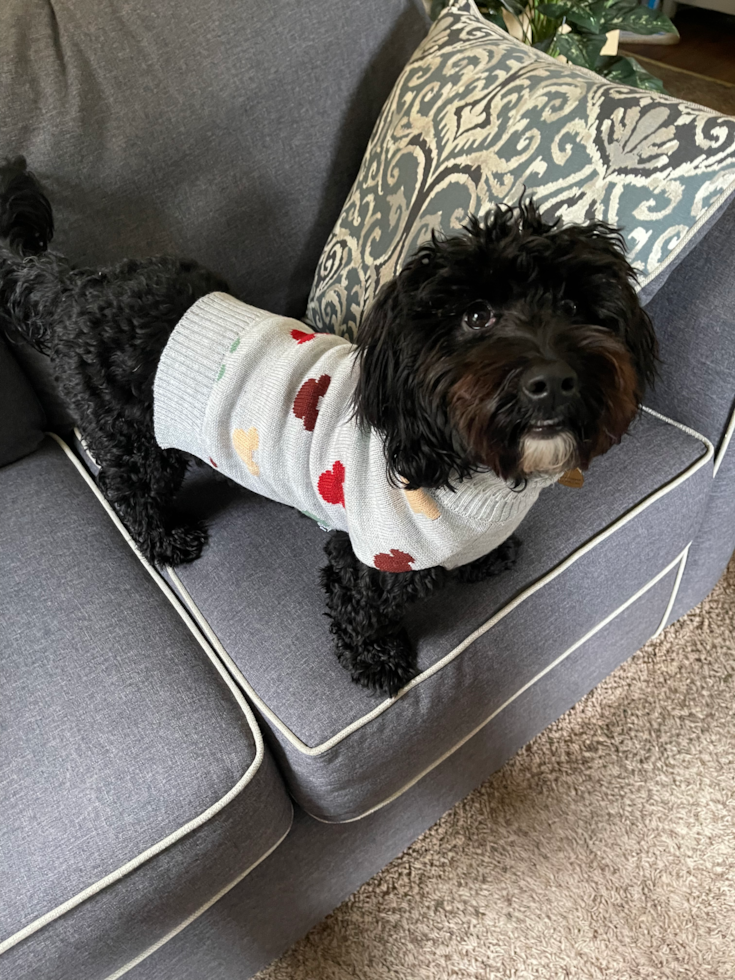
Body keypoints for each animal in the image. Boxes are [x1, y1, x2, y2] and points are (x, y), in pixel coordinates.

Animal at [0, 157, 656, 696]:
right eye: (475, 316)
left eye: (575, 306)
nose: (554, 380)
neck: (465, 468)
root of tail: (77, 288)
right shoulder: (370, 555)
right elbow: (360, 611)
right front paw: (377, 663)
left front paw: (481, 559)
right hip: (135, 438)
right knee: (130, 488)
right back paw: (165, 540)